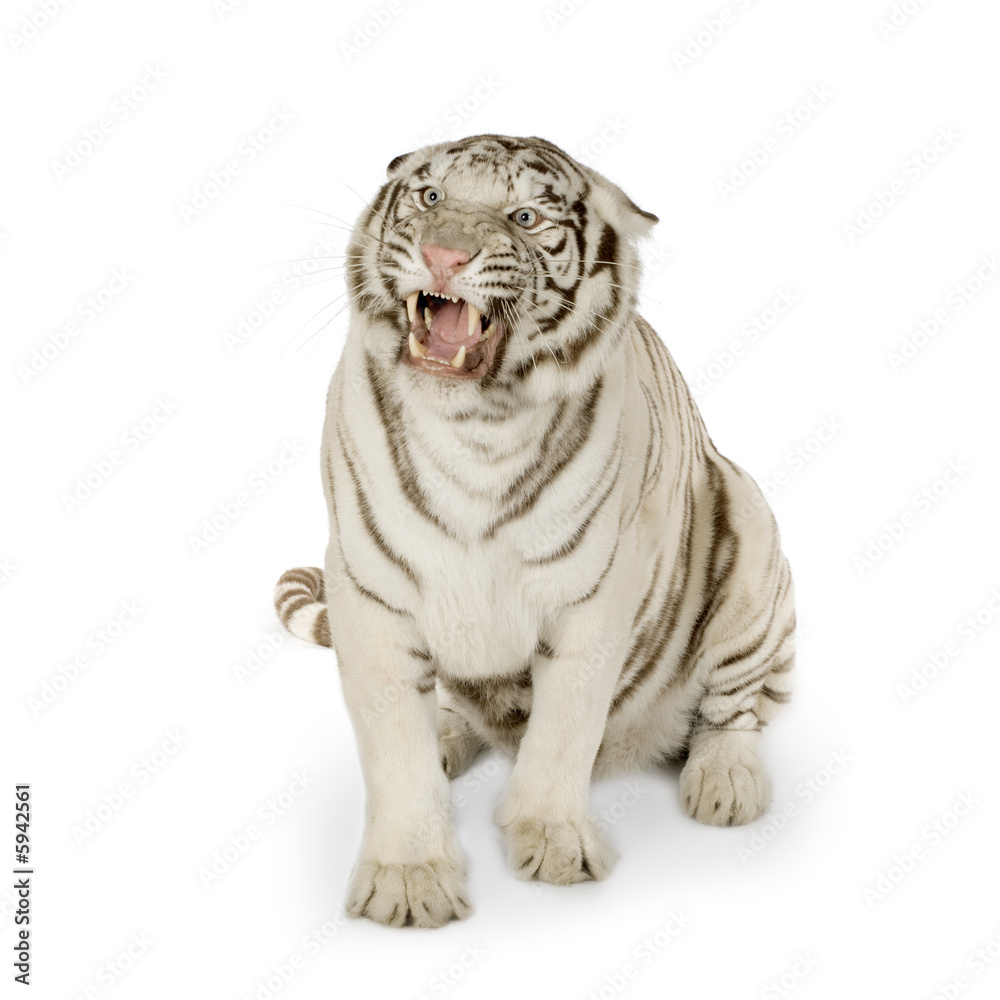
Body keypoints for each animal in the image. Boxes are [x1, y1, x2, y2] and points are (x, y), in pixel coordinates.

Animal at [273, 134, 795, 928]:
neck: (474, 426)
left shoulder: (595, 594)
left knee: (733, 710)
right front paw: (409, 882)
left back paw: (724, 784)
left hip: (752, 534)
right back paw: (448, 737)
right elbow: (395, 750)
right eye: (431, 196)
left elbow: (564, 730)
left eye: (523, 216)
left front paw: (552, 844)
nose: (444, 256)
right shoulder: (369, 591)